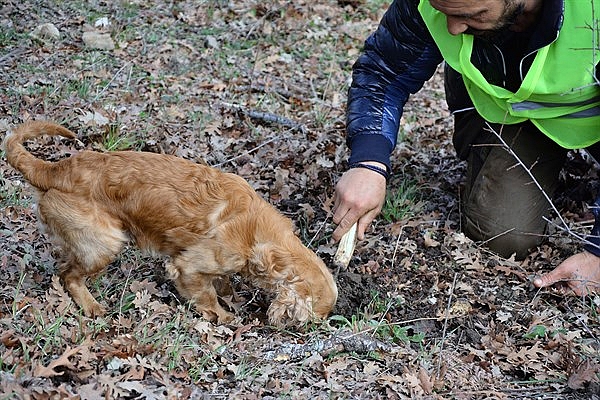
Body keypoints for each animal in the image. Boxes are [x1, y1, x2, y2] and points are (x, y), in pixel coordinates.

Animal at [3, 122, 338, 328]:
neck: (259, 235)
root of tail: (54, 170)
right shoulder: (189, 265)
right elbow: (207, 296)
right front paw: (223, 316)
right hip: (106, 241)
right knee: (69, 276)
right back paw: (92, 305)